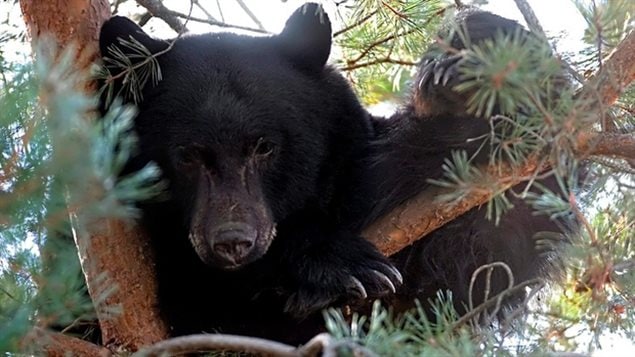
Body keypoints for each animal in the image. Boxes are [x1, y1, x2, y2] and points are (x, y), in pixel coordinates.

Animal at [98, 2, 572, 342]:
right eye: (187, 155)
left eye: (266, 146)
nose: (232, 242)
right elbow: (203, 303)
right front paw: (337, 264)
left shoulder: (364, 173)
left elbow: (481, 250)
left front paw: (479, 56)